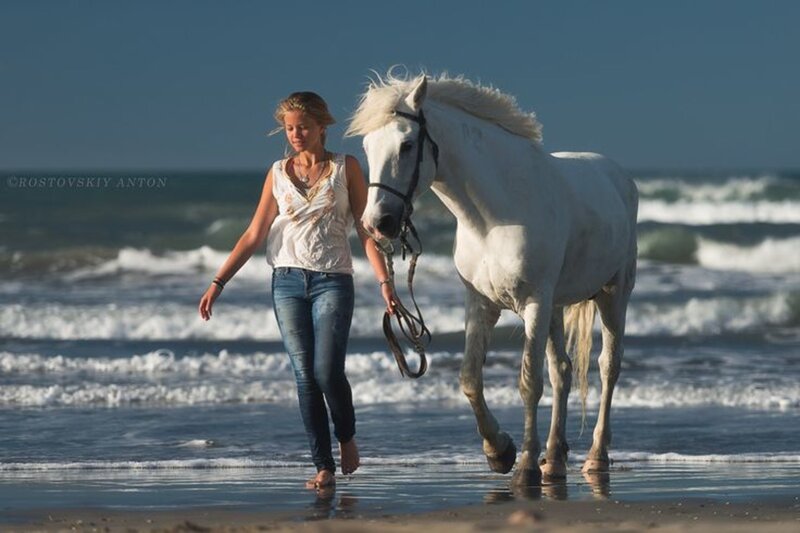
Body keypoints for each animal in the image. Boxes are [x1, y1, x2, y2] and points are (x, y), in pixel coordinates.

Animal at [348, 73, 638, 486]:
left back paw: (595, 457)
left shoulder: (533, 302)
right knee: (563, 371)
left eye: (406, 145)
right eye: (368, 148)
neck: (494, 216)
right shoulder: (481, 303)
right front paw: (499, 452)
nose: (378, 223)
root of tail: (617, 176)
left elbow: (529, 382)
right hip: (557, 305)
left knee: (608, 366)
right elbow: (470, 377)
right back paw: (555, 459)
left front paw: (525, 465)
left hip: (613, 294)